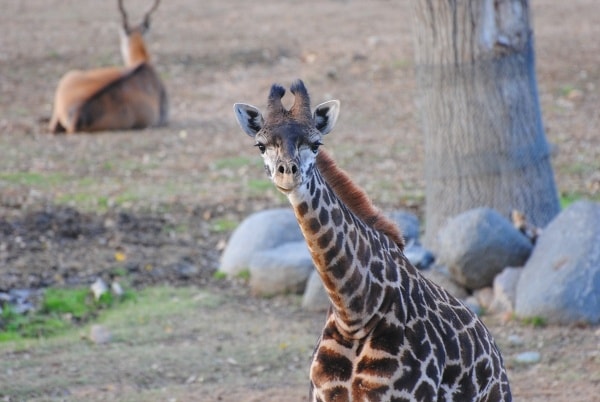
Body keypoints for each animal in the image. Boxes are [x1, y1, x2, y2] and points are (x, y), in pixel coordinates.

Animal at [233, 80, 510, 400]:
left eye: (316, 144)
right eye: (261, 145)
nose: (287, 173)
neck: (355, 313)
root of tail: (496, 353)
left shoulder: (407, 395)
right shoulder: (323, 394)